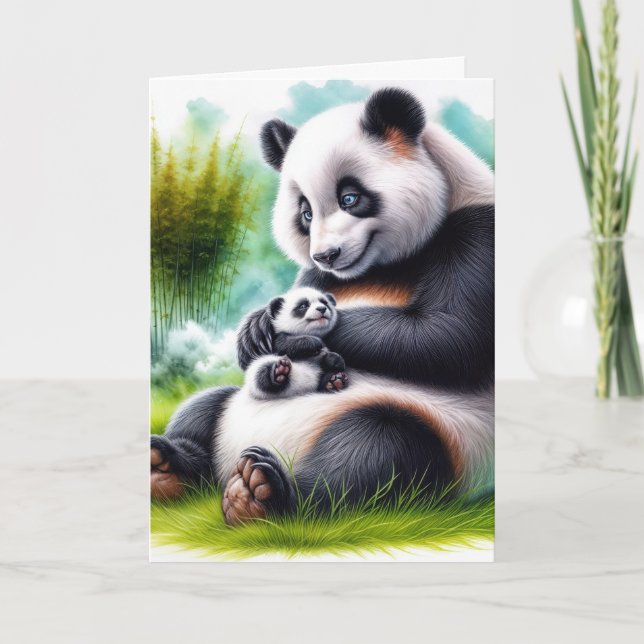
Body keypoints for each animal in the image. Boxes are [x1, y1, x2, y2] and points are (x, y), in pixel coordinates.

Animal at [151, 87, 495, 526]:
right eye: (305, 213)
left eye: (350, 198)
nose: (326, 255)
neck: (378, 267)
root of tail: (228, 462)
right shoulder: (315, 276)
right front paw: (254, 329)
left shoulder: (478, 233)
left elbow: (447, 337)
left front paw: (287, 334)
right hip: (230, 412)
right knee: (203, 407)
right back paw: (169, 463)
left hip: (445, 433)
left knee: (376, 449)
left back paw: (265, 490)